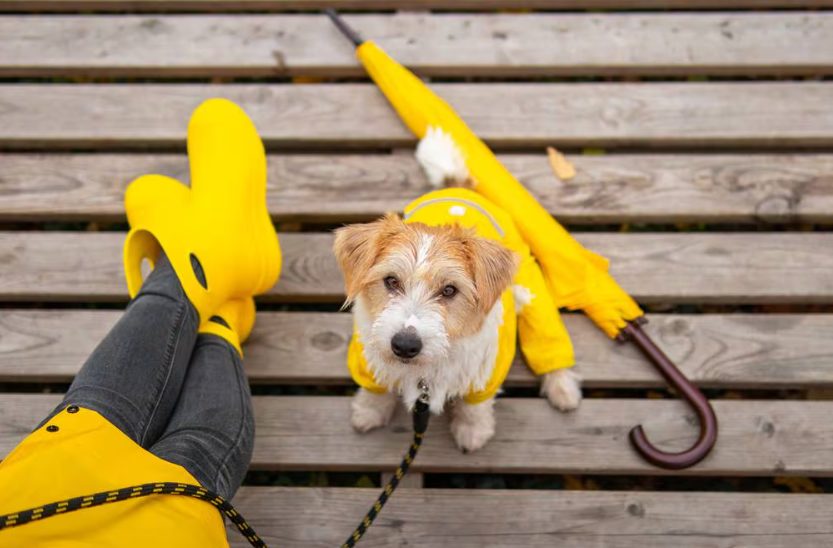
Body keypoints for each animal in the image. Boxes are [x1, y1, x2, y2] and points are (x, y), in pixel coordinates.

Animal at [330, 130, 580, 454]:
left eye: (449, 290)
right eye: (391, 281)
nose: (405, 345)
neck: (424, 373)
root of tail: (461, 189)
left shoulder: (485, 374)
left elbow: (475, 407)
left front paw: (472, 431)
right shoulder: (366, 362)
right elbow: (375, 389)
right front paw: (369, 412)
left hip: (535, 298)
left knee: (550, 346)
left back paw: (564, 389)